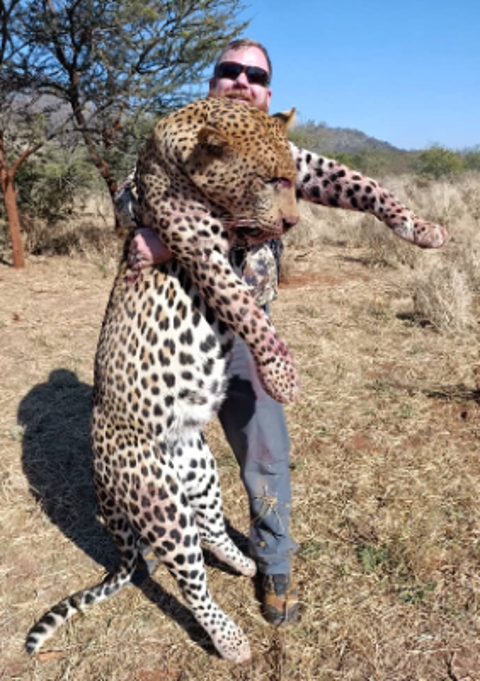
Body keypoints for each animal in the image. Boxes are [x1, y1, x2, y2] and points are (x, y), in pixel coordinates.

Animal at [25, 97, 300, 664]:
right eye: (269, 179)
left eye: (291, 178)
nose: (292, 221)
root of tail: (102, 474)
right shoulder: (202, 251)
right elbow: (247, 309)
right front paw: (282, 375)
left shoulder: (232, 245)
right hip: (160, 502)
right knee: (190, 580)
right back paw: (230, 639)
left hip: (199, 472)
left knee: (211, 530)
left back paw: (244, 561)